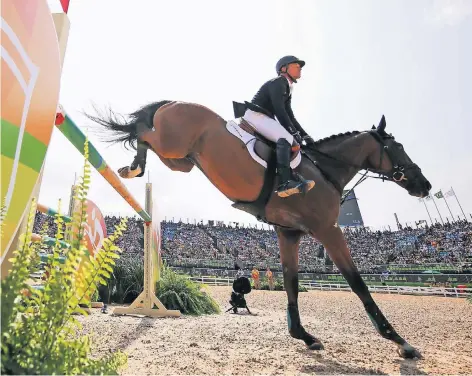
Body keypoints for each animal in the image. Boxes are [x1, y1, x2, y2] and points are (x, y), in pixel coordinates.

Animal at [88, 100, 432, 358]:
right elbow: (359, 284)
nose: (424, 186)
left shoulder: (289, 233)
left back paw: (133, 165)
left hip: (181, 160)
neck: (325, 171)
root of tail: (172, 102)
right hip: (173, 144)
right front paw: (400, 342)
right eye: (398, 147)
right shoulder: (328, 230)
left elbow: (291, 283)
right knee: (143, 133)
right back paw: (133, 167)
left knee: (148, 140)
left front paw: (303, 335)